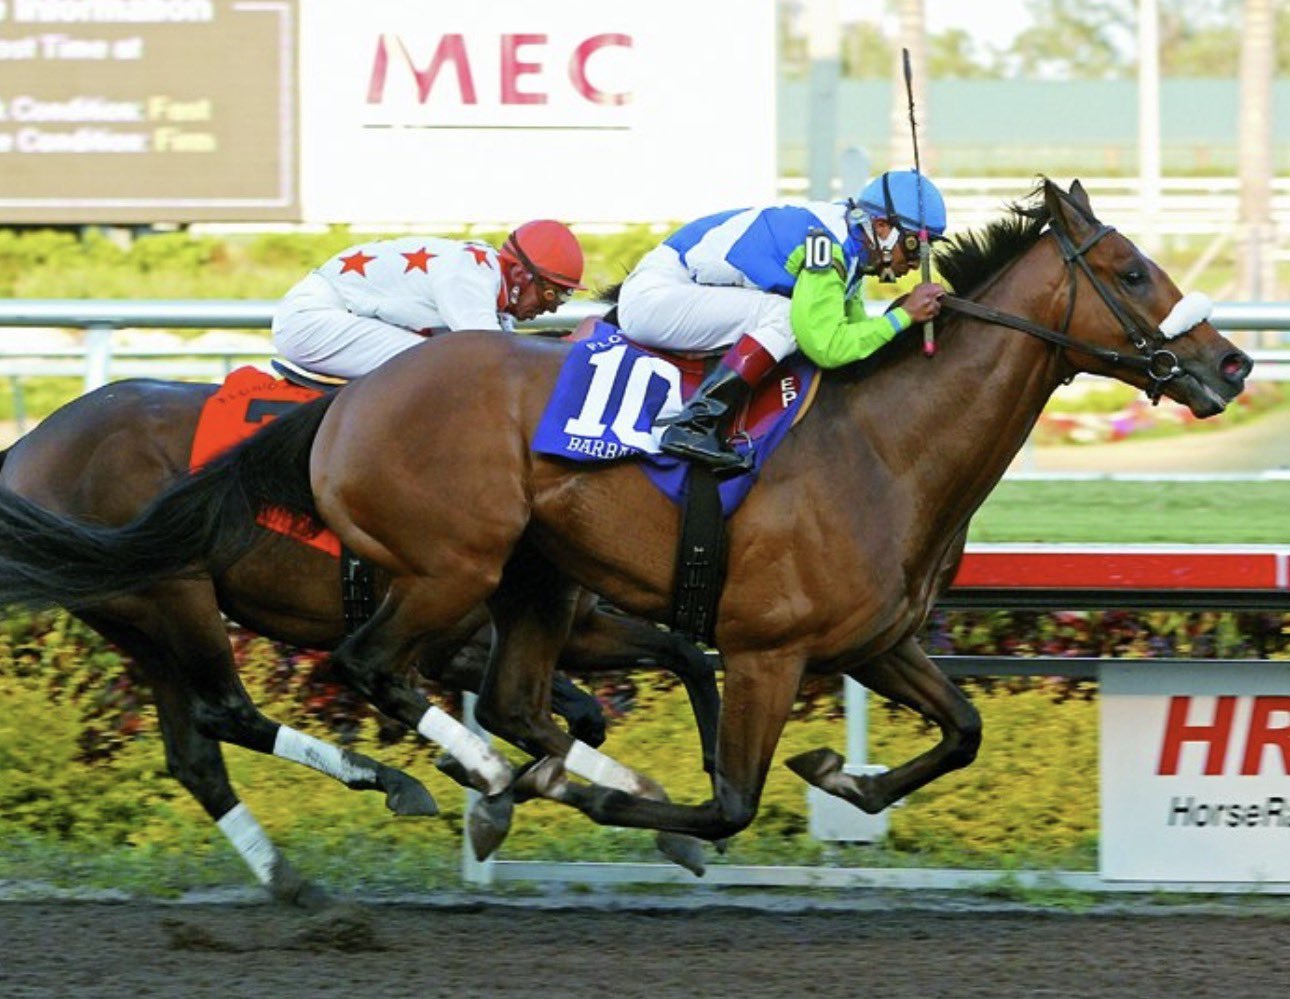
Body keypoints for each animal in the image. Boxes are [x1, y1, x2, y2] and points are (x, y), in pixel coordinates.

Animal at [0, 377, 720, 904]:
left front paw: (519, 790)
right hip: (176, 593)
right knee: (226, 712)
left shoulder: (549, 628)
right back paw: (386, 781)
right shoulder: (453, 633)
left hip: (138, 621)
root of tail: (28, 443)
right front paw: (488, 783)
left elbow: (617, 692)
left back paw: (291, 879)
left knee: (195, 757)